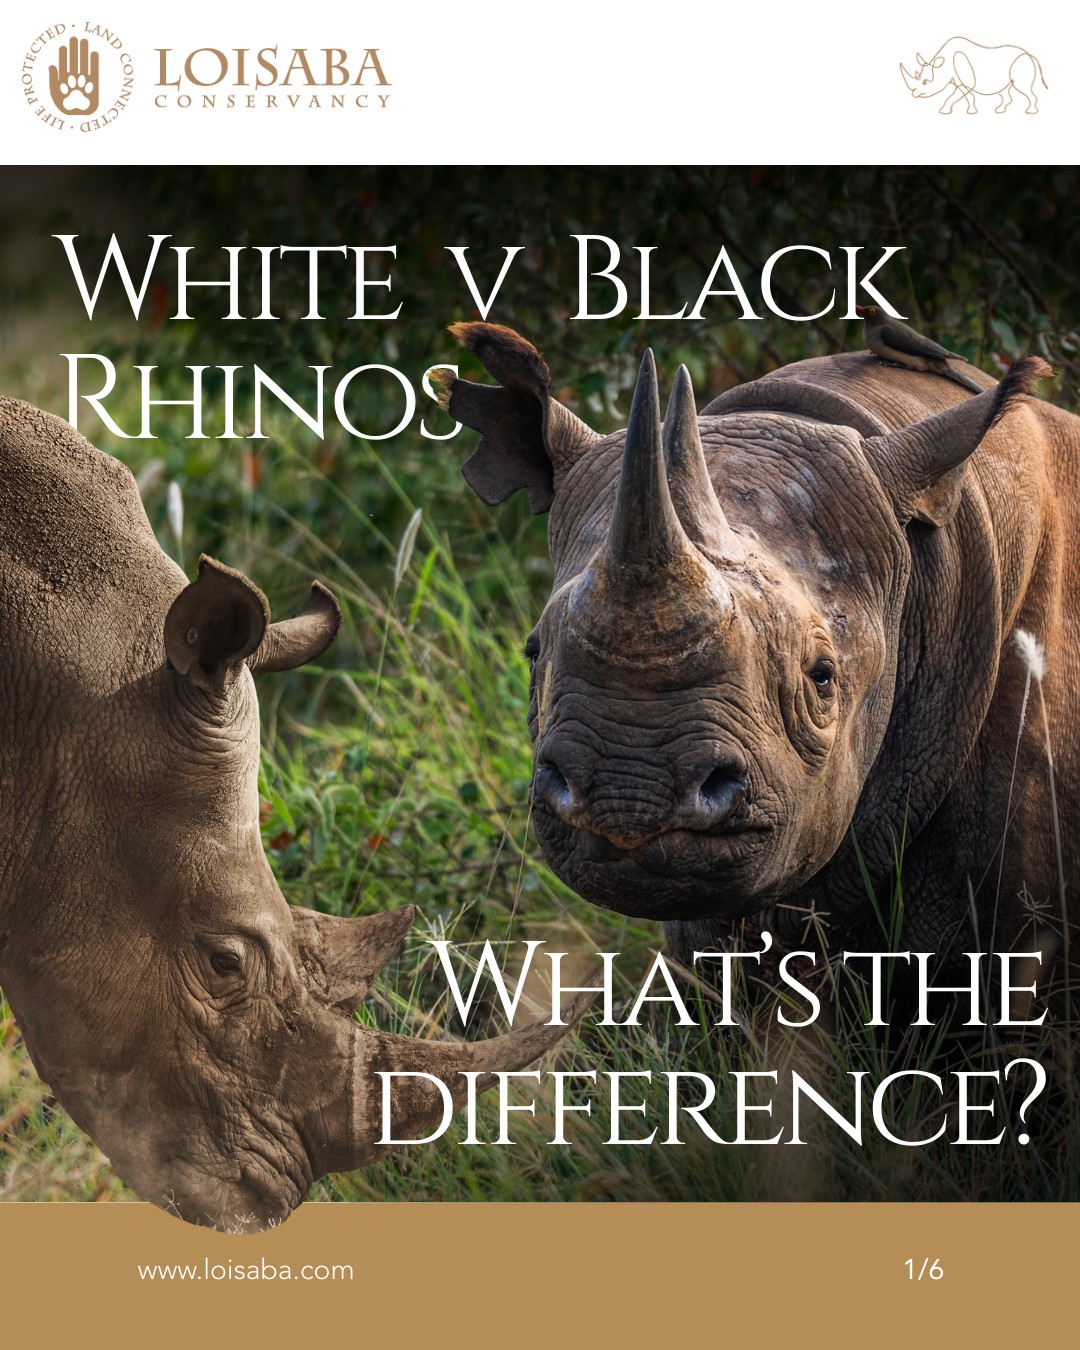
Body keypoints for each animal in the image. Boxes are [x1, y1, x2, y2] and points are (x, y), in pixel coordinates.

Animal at [900, 38, 1047, 115]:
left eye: (925, 82)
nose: (914, 94)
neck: (943, 67)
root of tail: (1029, 54)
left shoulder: (966, 81)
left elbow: (954, 96)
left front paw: (943, 111)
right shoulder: (959, 81)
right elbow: (965, 95)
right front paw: (971, 111)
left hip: (1022, 63)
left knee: (1024, 88)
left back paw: (1030, 112)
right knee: (1004, 91)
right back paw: (999, 111)